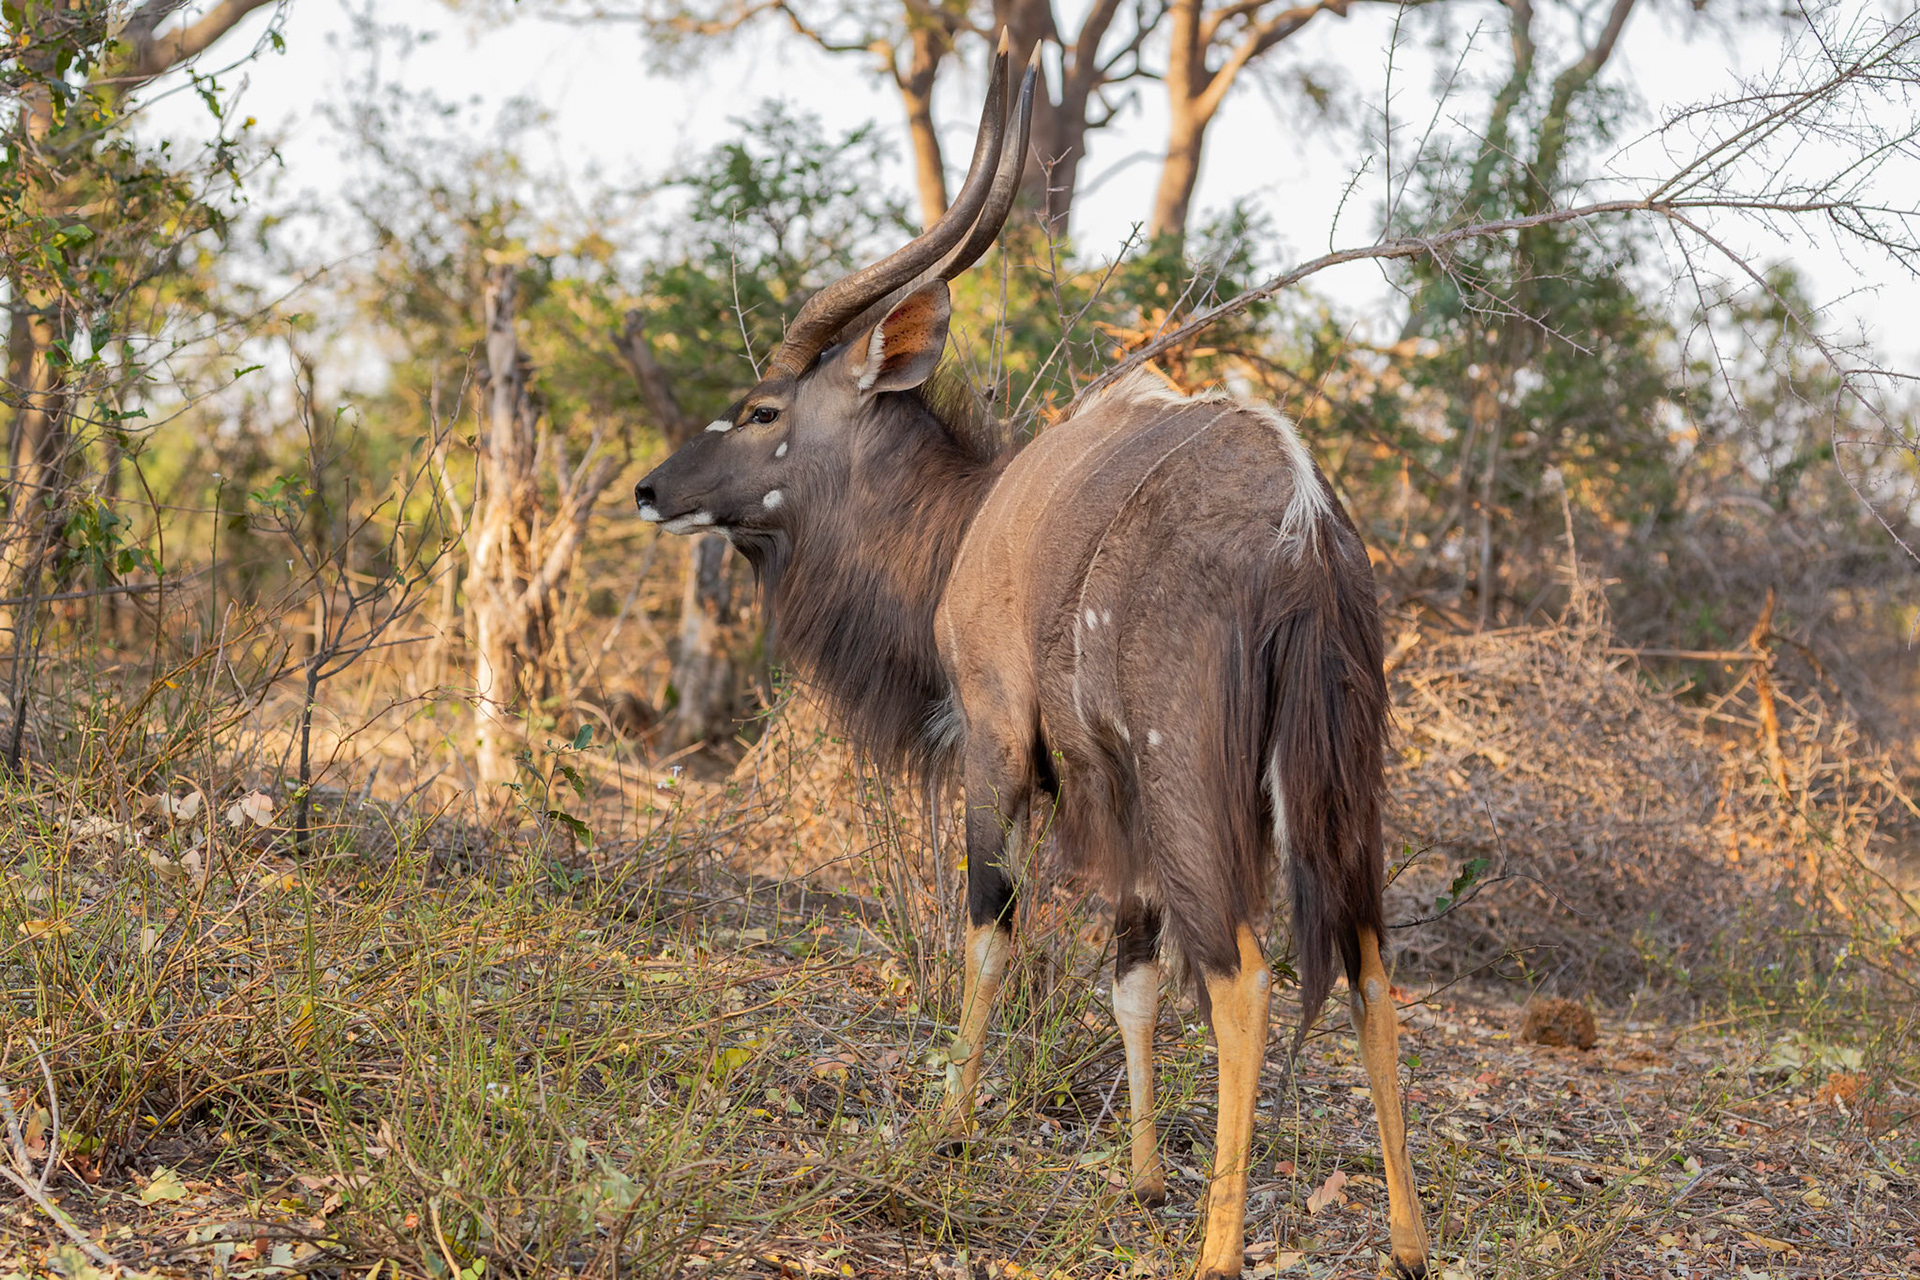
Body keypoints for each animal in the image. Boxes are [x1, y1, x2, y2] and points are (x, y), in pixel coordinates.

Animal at [634, 38, 1429, 1280]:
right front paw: (1141, 1177)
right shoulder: (1120, 805)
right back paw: (1407, 1242)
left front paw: (948, 1125)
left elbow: (990, 925)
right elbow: (1132, 976)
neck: (969, 522)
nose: (651, 488)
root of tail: (1304, 529)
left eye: (762, 408)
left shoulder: (1002, 739)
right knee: (1372, 968)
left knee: (1246, 976)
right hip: (1340, 795)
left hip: (1197, 789)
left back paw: (1218, 1250)